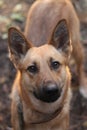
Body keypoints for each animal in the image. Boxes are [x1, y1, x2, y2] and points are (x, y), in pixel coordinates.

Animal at [7, 0, 86, 130]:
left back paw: (84, 85)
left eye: (55, 64)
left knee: (80, 66)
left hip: (76, 46)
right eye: (32, 68)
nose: (51, 90)